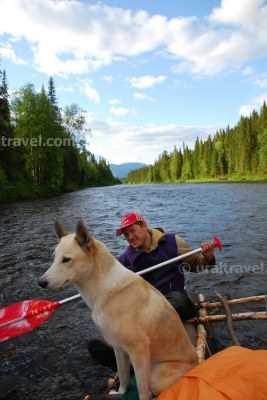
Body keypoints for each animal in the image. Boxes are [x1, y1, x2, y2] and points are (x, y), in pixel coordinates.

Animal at [38, 222, 198, 400]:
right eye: (54, 257)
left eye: (66, 259)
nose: (41, 282)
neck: (103, 287)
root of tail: (197, 361)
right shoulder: (119, 348)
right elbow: (123, 376)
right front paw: (120, 392)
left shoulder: (138, 351)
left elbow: (142, 391)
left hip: (155, 375)